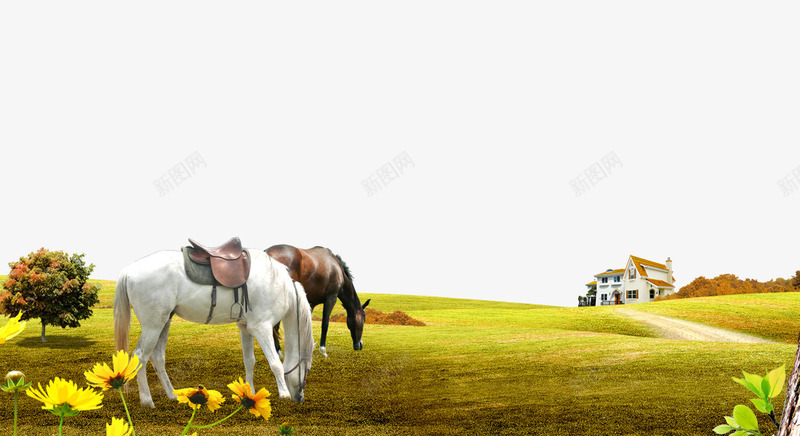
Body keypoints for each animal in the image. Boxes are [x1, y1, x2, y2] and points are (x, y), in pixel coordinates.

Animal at [114, 249, 314, 407]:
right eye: (307, 369)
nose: (300, 398)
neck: (276, 283)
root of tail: (129, 270)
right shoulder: (262, 328)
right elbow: (276, 364)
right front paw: (284, 395)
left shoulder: (245, 327)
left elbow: (249, 361)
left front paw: (249, 393)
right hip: (153, 326)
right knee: (140, 356)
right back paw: (147, 401)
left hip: (164, 323)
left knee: (157, 358)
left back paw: (172, 395)